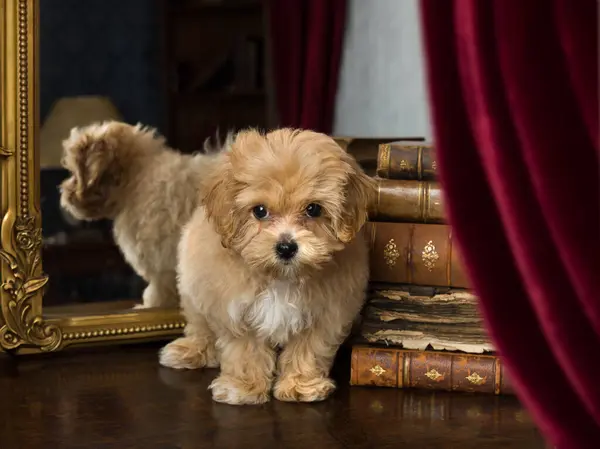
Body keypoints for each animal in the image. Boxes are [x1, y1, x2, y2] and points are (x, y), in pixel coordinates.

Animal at [61, 121, 229, 306]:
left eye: (75, 173)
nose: (63, 191)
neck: (135, 177)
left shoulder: (161, 259)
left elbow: (160, 288)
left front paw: (151, 304)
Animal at [159, 128, 376, 404]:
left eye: (313, 209)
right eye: (260, 211)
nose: (286, 247)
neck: (281, 277)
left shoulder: (326, 312)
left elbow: (309, 347)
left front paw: (301, 386)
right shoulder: (235, 310)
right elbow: (245, 350)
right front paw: (243, 388)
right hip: (192, 287)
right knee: (200, 325)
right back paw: (190, 350)